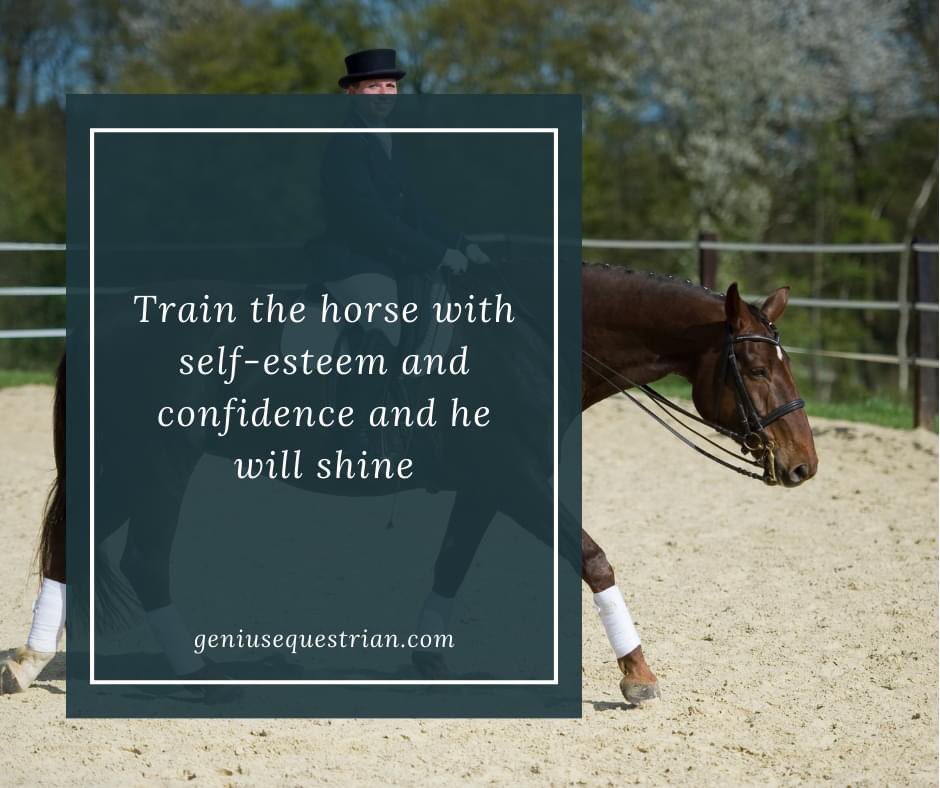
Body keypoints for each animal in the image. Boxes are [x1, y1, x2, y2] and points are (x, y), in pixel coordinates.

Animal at [1, 263, 817, 704]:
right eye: (752, 366)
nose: (804, 464)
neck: (536, 340)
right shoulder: (520, 480)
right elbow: (593, 558)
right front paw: (637, 674)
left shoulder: (491, 484)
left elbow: (453, 557)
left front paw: (427, 659)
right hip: (157, 466)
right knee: (139, 560)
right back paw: (193, 675)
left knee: (75, 548)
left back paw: (30, 662)